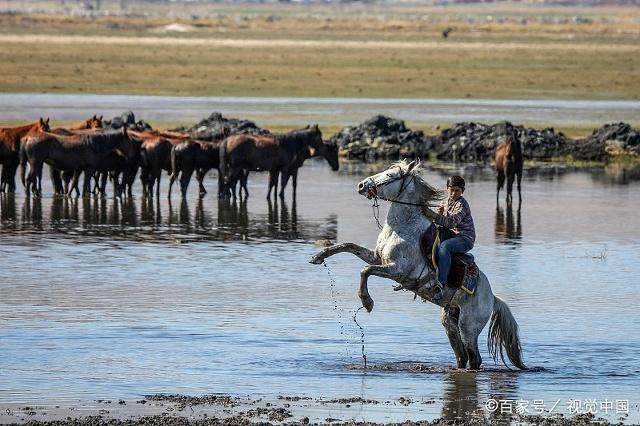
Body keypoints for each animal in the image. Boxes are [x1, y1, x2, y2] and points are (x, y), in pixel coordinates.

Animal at [310, 159, 524, 370]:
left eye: (390, 175)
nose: (362, 185)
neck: (402, 229)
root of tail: (492, 298)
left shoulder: (397, 269)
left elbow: (365, 271)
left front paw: (367, 301)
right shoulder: (376, 257)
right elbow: (348, 246)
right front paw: (319, 256)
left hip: (468, 326)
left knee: (474, 358)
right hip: (450, 322)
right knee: (461, 356)